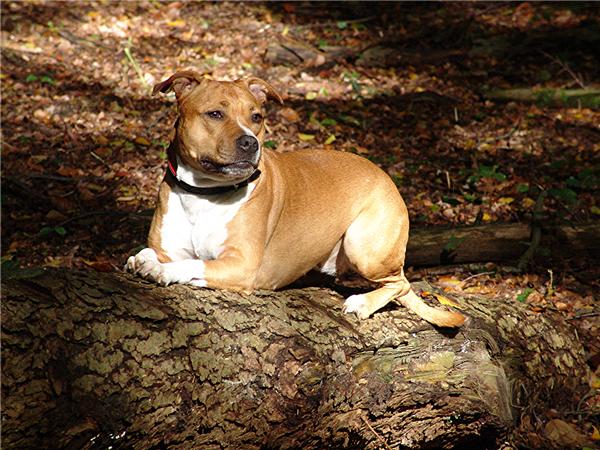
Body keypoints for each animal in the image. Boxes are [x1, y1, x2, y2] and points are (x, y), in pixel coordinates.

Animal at [125, 72, 464, 328]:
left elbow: (195, 264)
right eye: (215, 114)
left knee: (400, 283)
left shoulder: (242, 265)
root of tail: (386, 176)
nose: (250, 142)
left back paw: (362, 303)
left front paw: (164, 271)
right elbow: (153, 253)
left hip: (364, 245)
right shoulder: (169, 246)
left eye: (257, 116)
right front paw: (144, 259)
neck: (205, 193)